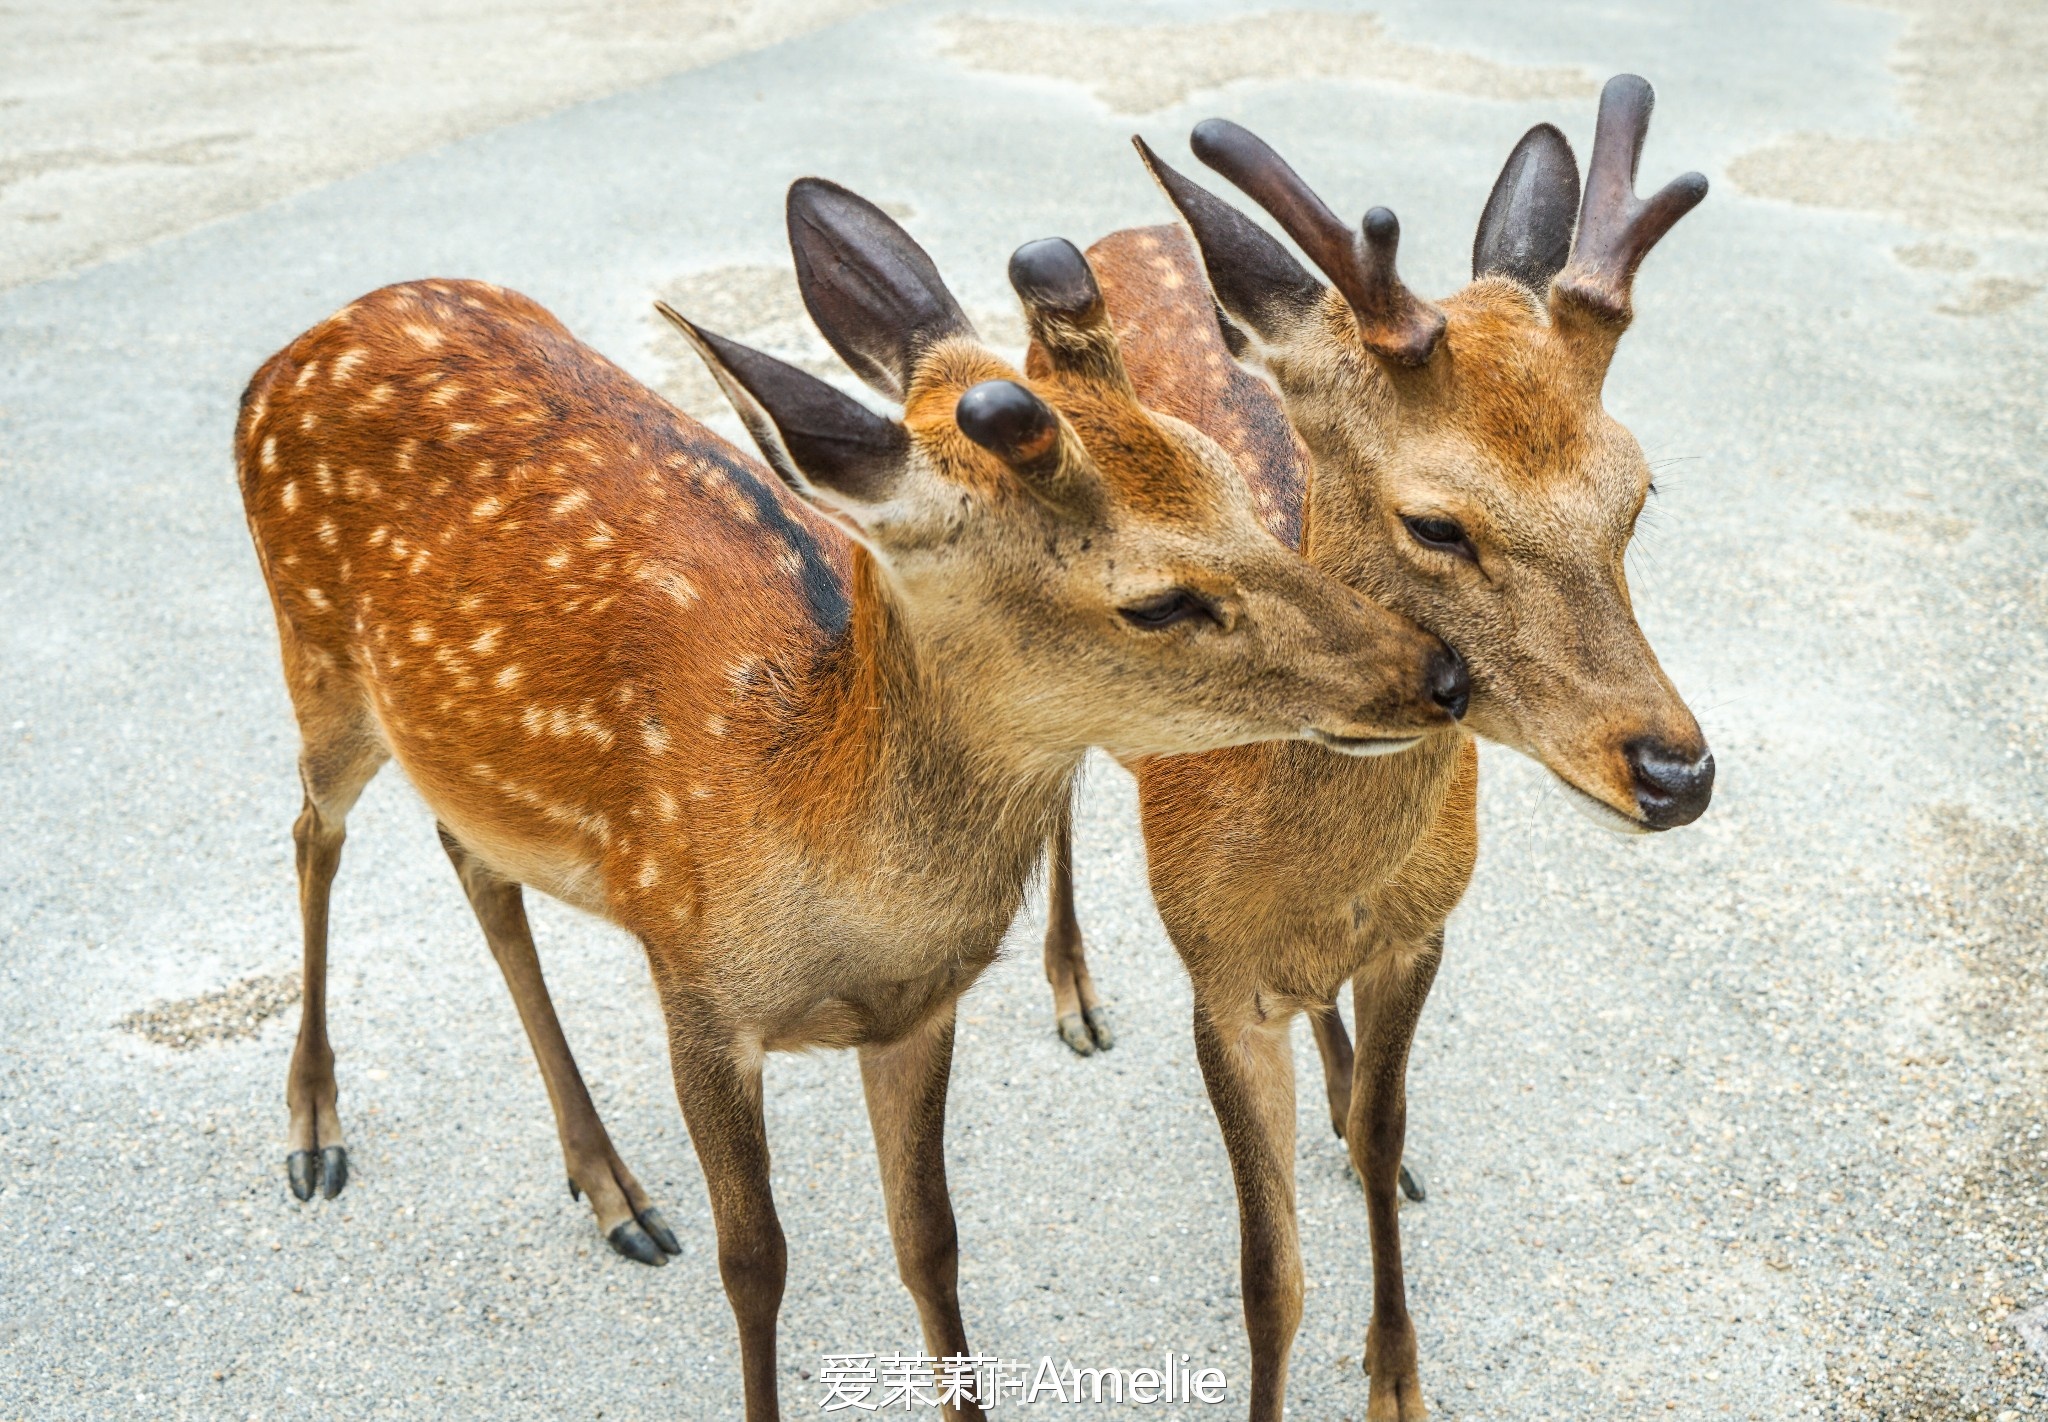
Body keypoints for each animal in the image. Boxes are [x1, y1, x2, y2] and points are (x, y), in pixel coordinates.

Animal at [232, 175, 1466, 1417]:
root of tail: (288, 354)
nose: (1437, 670)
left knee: (471, 860)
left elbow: (930, 1241)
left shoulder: (917, 1012)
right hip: (317, 662)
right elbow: (753, 1266)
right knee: (310, 828)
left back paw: (609, 1187)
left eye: (1237, 487)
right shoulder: (691, 982)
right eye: (1157, 601)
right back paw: (315, 1131)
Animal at [1032, 80, 1720, 1422]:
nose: (1675, 773)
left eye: (1640, 491)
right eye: (1435, 523)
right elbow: (1269, 1273)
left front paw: (1395, 1373)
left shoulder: (1421, 929)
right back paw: (1075, 994)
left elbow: (1381, 1125)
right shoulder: (1213, 983)